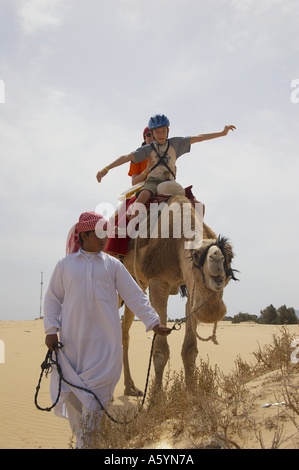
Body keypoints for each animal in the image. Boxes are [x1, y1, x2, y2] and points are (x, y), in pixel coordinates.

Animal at [108, 185, 239, 394]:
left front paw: (192, 395)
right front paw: (156, 398)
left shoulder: (189, 288)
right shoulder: (158, 281)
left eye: (230, 257)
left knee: (124, 329)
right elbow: (161, 349)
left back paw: (130, 387)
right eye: (196, 255)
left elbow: (190, 349)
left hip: (136, 282)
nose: (216, 273)